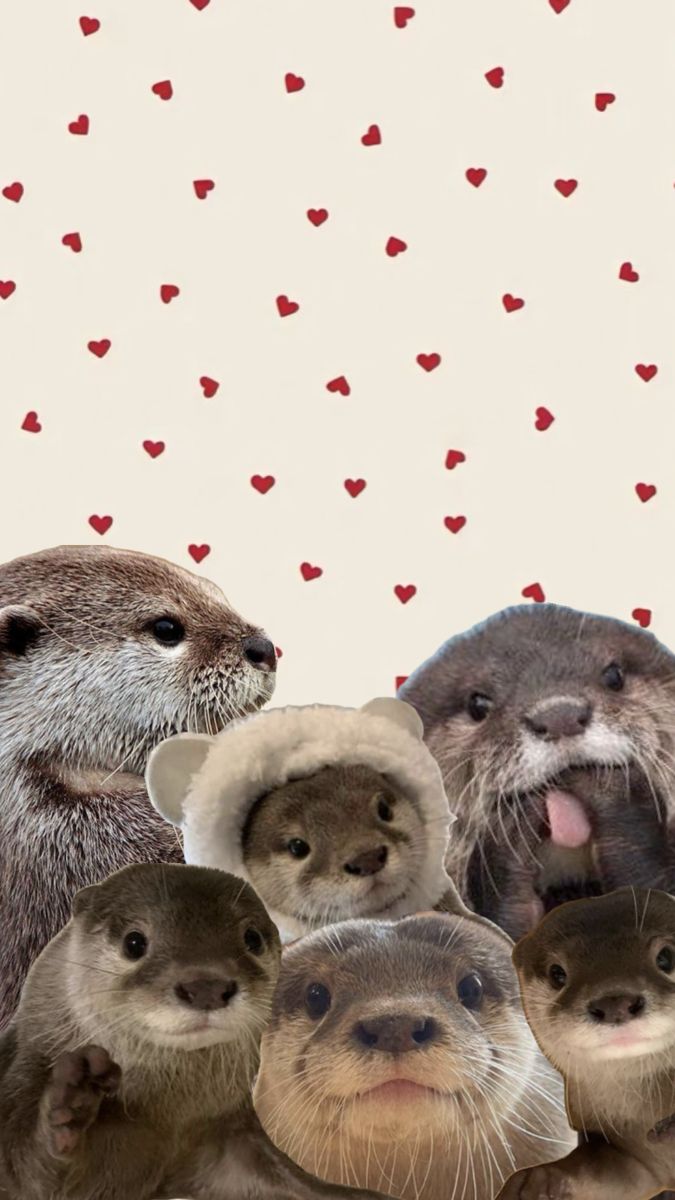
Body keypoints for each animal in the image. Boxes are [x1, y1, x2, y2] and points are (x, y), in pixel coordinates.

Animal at [0, 863, 390, 1200]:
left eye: (251, 938)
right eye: (134, 942)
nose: (207, 985)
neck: (159, 1113)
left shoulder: (227, 1139)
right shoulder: (26, 1069)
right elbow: (25, 1167)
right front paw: (75, 1096)